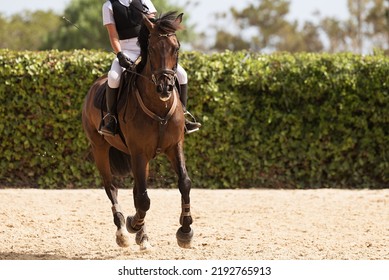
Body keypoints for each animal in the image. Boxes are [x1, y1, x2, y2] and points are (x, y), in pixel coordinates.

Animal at [80, 12, 192, 250]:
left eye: (176, 48)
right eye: (152, 49)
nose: (165, 87)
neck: (159, 106)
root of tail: (95, 85)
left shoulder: (173, 146)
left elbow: (184, 183)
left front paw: (185, 231)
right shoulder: (139, 152)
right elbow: (143, 199)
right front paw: (133, 224)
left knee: (135, 190)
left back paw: (142, 235)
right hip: (100, 148)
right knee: (111, 187)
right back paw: (123, 231)